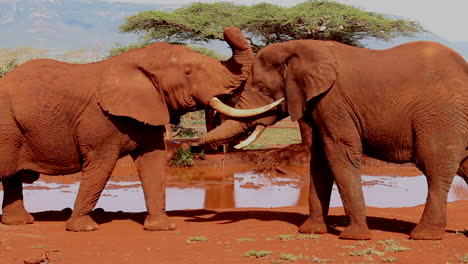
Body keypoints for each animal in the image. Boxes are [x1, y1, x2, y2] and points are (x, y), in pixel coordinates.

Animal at [0, 26, 282, 232]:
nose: (228, 29)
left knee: (12, 177)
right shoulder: (99, 119)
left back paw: (19, 223)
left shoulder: (150, 108)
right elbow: (101, 165)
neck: (136, 60)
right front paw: (84, 228)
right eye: (188, 72)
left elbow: (153, 161)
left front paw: (162, 227)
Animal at [201, 40, 468, 240]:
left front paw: (353, 237)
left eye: (262, 88)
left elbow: (339, 154)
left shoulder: (333, 101)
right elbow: (319, 161)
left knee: (434, 168)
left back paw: (423, 236)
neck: (299, 48)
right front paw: (310, 232)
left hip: (440, 118)